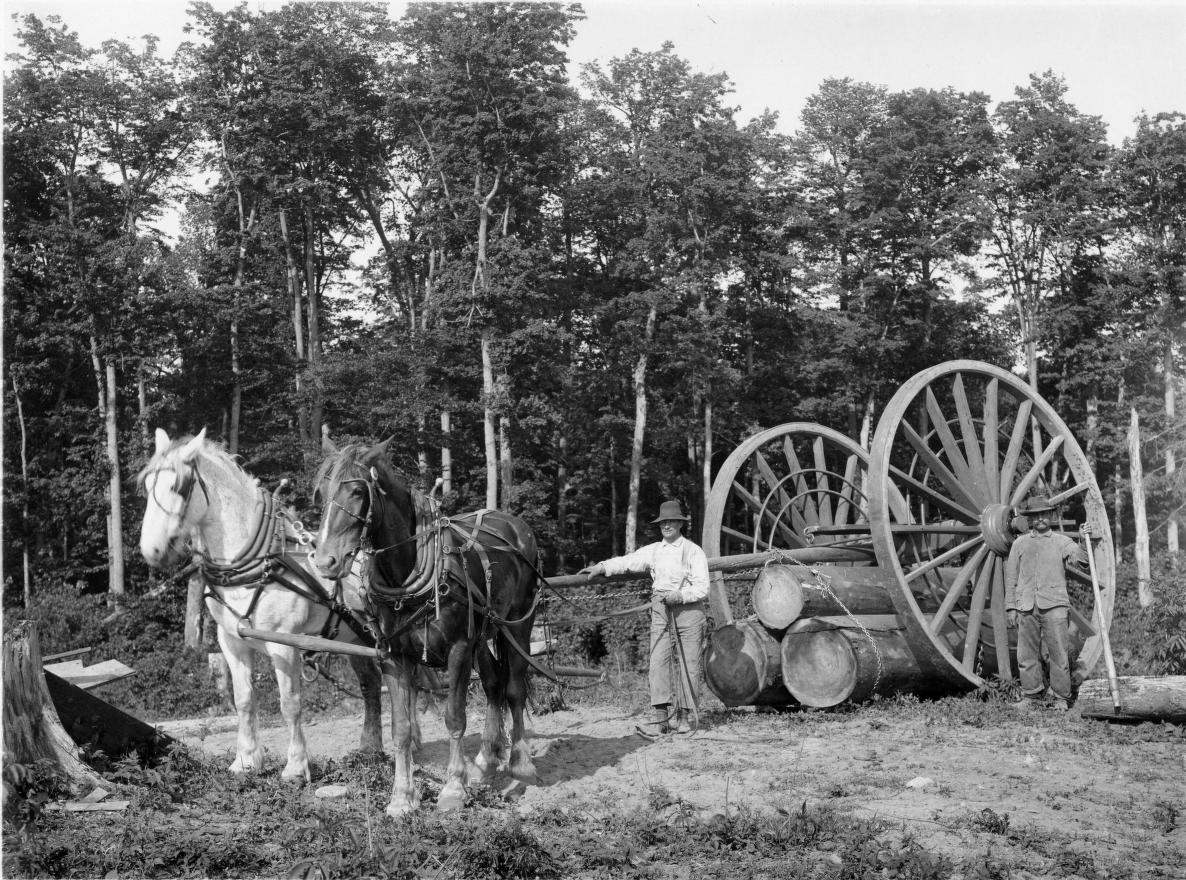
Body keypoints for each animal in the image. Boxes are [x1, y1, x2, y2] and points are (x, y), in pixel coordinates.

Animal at [138, 428, 389, 782]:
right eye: (147, 485)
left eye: (180, 487)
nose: (152, 550)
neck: (255, 563)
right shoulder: (231, 641)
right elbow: (243, 699)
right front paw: (246, 761)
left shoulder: (284, 644)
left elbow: (290, 703)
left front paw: (296, 767)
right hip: (354, 638)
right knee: (371, 685)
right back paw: (371, 750)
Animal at [310, 437, 541, 815]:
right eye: (321, 492)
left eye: (357, 491)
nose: (325, 561)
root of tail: (516, 525)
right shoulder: (393, 655)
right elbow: (401, 728)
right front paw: (402, 797)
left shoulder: (459, 648)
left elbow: (454, 717)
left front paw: (453, 788)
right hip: (483, 636)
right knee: (493, 685)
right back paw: (485, 759)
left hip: (518, 624)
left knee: (514, 689)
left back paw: (520, 762)